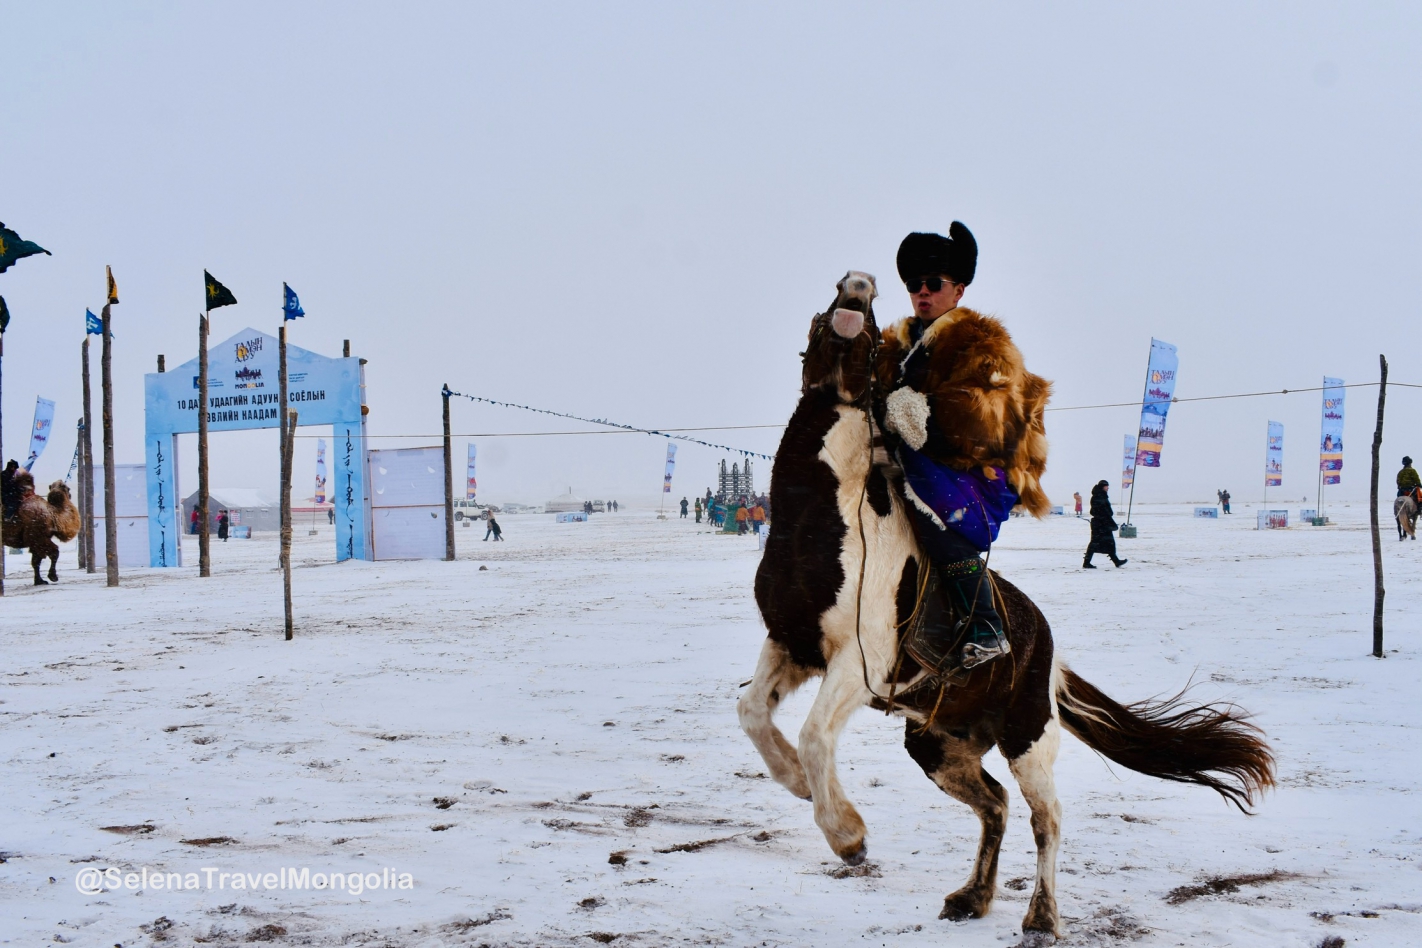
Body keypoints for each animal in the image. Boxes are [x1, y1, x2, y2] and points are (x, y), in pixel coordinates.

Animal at [745, 270, 1279, 943]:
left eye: (869, 334)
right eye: (823, 315)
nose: (858, 285)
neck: (822, 523)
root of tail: (1049, 652)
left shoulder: (860, 663)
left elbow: (815, 735)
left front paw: (848, 835)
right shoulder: (789, 644)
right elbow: (752, 713)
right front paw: (794, 781)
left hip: (1027, 738)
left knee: (1045, 818)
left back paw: (1042, 916)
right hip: (940, 747)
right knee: (995, 805)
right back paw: (971, 897)